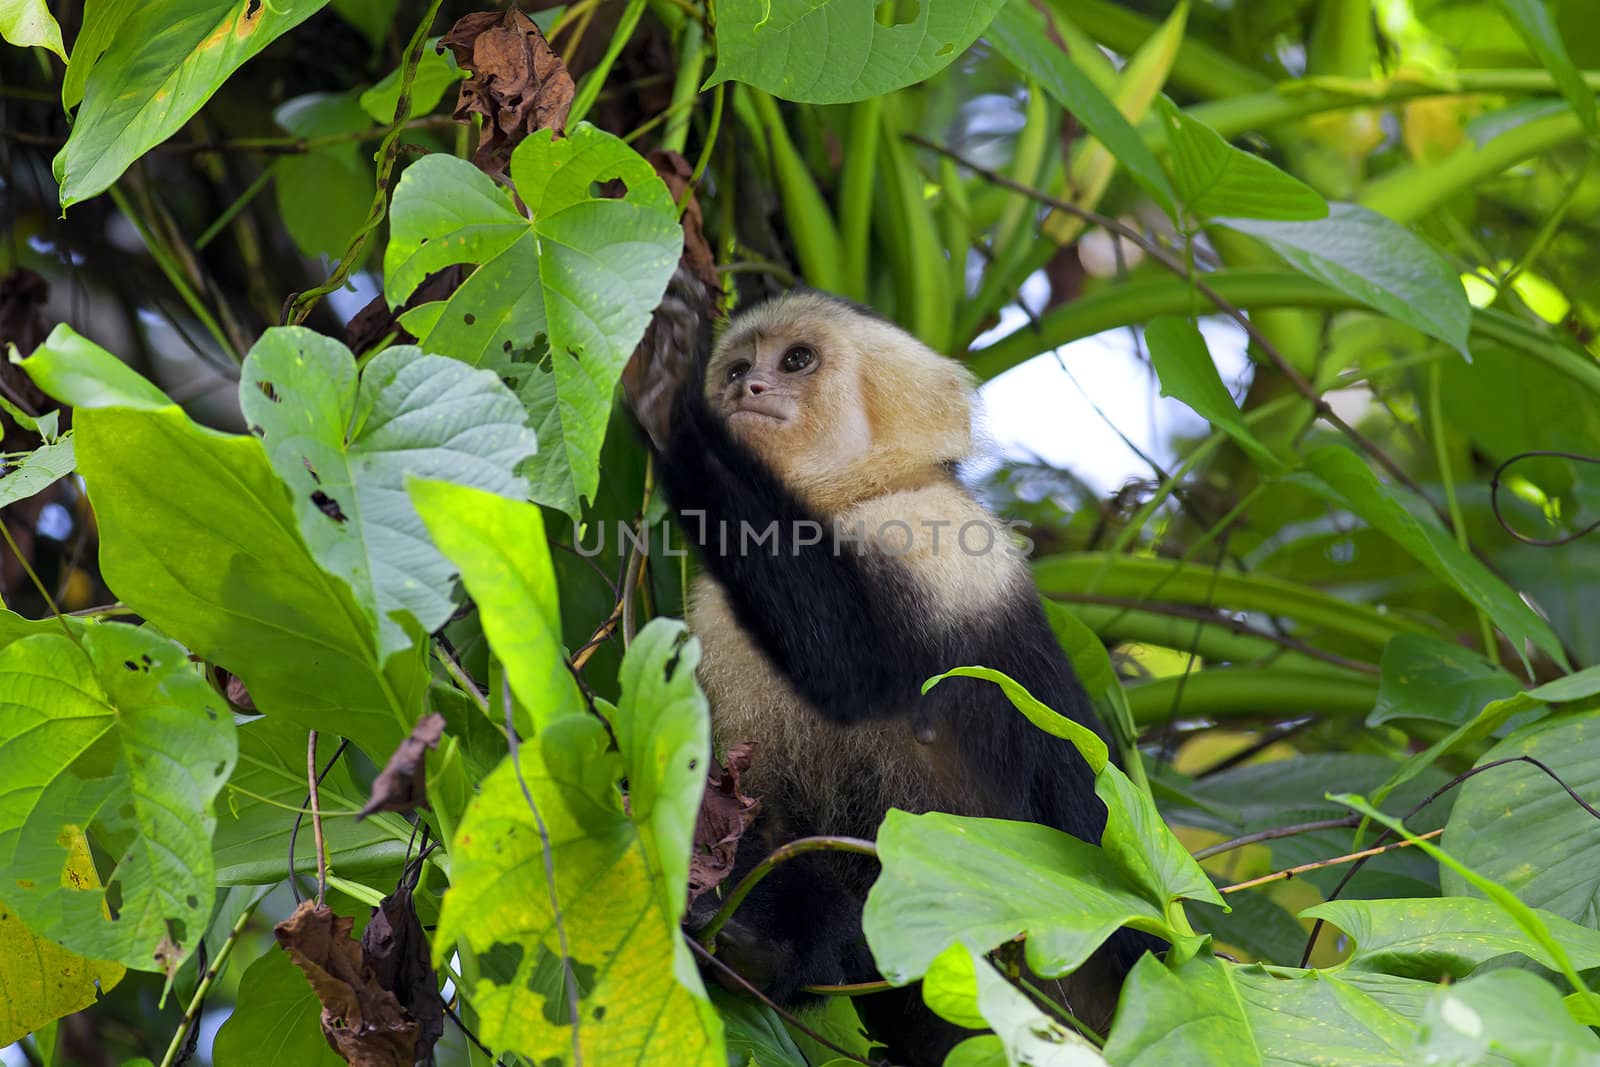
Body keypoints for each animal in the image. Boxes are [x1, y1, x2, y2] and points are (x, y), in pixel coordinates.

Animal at [627, 287, 1164, 1062]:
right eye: (736, 368)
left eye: (796, 360)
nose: (743, 389)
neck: (843, 502)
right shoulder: (716, 622)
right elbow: (745, 806)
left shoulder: (941, 540)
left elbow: (851, 662)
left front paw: (670, 407)